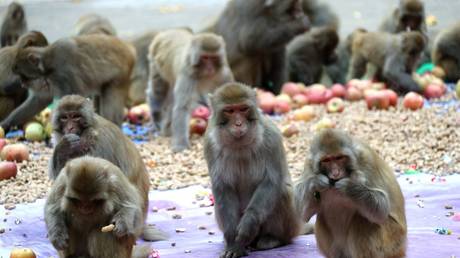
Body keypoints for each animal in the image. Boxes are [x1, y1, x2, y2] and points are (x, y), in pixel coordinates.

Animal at [0, 33, 135, 131]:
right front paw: (5, 124)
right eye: (20, 76)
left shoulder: (63, 74)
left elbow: (74, 98)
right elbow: (40, 101)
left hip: (121, 74)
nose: (22, 83)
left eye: (24, 76)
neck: (47, 66)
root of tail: (128, 48)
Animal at [204, 82, 304, 258]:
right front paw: (232, 241)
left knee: (282, 192)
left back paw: (271, 239)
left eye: (243, 108)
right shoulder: (210, 144)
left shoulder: (272, 138)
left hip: (292, 226)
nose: (238, 124)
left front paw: (247, 228)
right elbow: (223, 187)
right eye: (230, 111)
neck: (240, 145)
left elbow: (271, 182)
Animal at [294, 128, 406, 258]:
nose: (336, 172)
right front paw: (316, 181)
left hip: (393, 242)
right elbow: (303, 214)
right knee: (321, 217)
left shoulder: (367, 158)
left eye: (339, 158)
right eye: (326, 160)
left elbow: (381, 209)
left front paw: (350, 186)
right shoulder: (308, 163)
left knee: (363, 220)